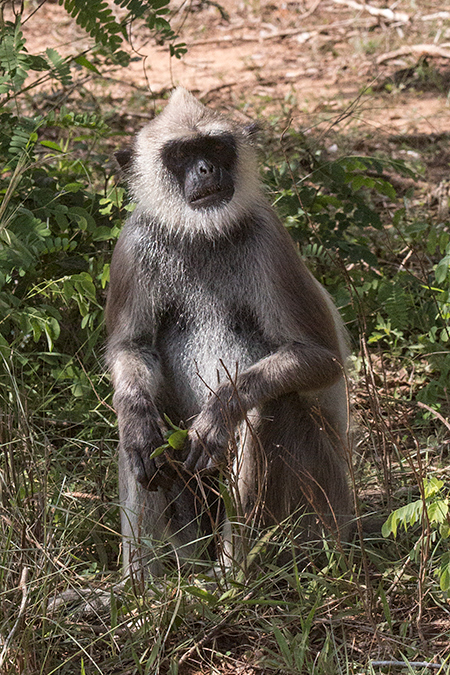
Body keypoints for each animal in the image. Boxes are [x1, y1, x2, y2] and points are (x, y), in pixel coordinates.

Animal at [106, 87, 352, 580]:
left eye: (216, 147)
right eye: (182, 155)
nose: (206, 170)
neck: (203, 234)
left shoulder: (269, 237)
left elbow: (321, 357)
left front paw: (218, 413)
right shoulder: (136, 239)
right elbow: (131, 349)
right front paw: (140, 426)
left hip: (324, 509)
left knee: (268, 406)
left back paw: (233, 578)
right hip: (189, 527)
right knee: (139, 436)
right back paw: (141, 591)